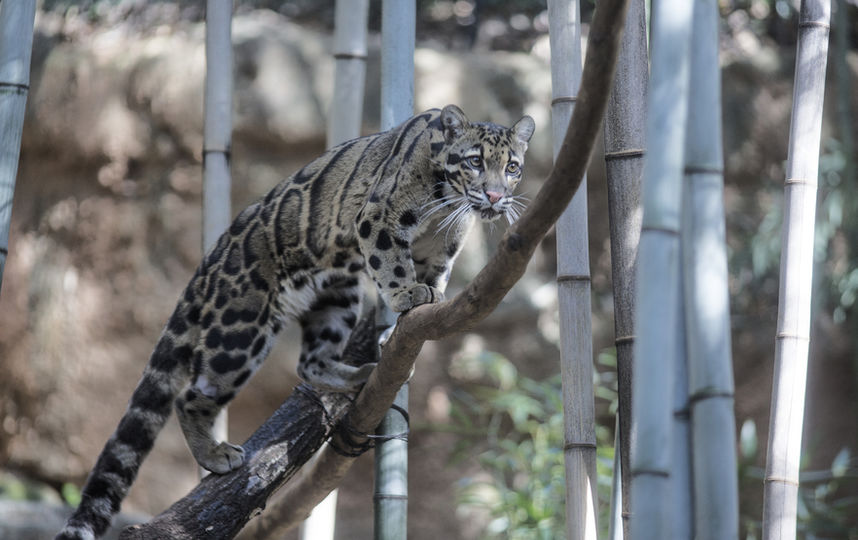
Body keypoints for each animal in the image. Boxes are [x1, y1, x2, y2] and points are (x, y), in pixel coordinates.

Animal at [56, 103, 532, 536]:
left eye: (512, 167)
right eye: (474, 161)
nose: (495, 197)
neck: (447, 205)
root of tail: (209, 261)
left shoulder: (441, 248)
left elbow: (431, 280)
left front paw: (405, 321)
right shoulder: (379, 218)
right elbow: (392, 265)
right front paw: (405, 294)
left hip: (337, 294)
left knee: (310, 361)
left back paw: (357, 373)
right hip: (239, 331)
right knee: (191, 394)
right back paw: (215, 454)